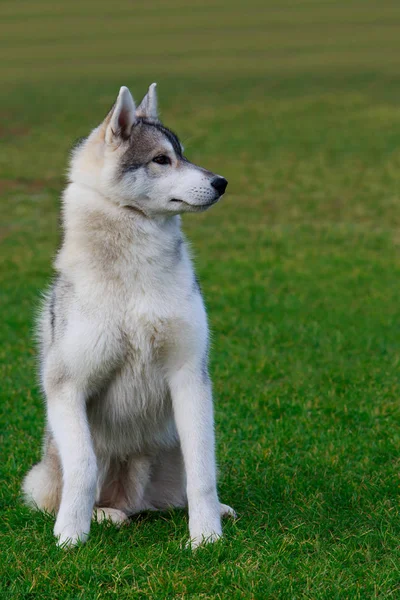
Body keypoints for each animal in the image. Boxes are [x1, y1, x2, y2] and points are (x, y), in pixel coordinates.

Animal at [22, 83, 234, 548]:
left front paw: (206, 538)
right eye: (161, 159)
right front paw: (70, 535)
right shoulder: (66, 386)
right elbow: (82, 470)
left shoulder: (190, 375)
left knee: (178, 488)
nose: (221, 182)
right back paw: (105, 516)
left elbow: (203, 472)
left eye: (183, 154)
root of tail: (132, 499)